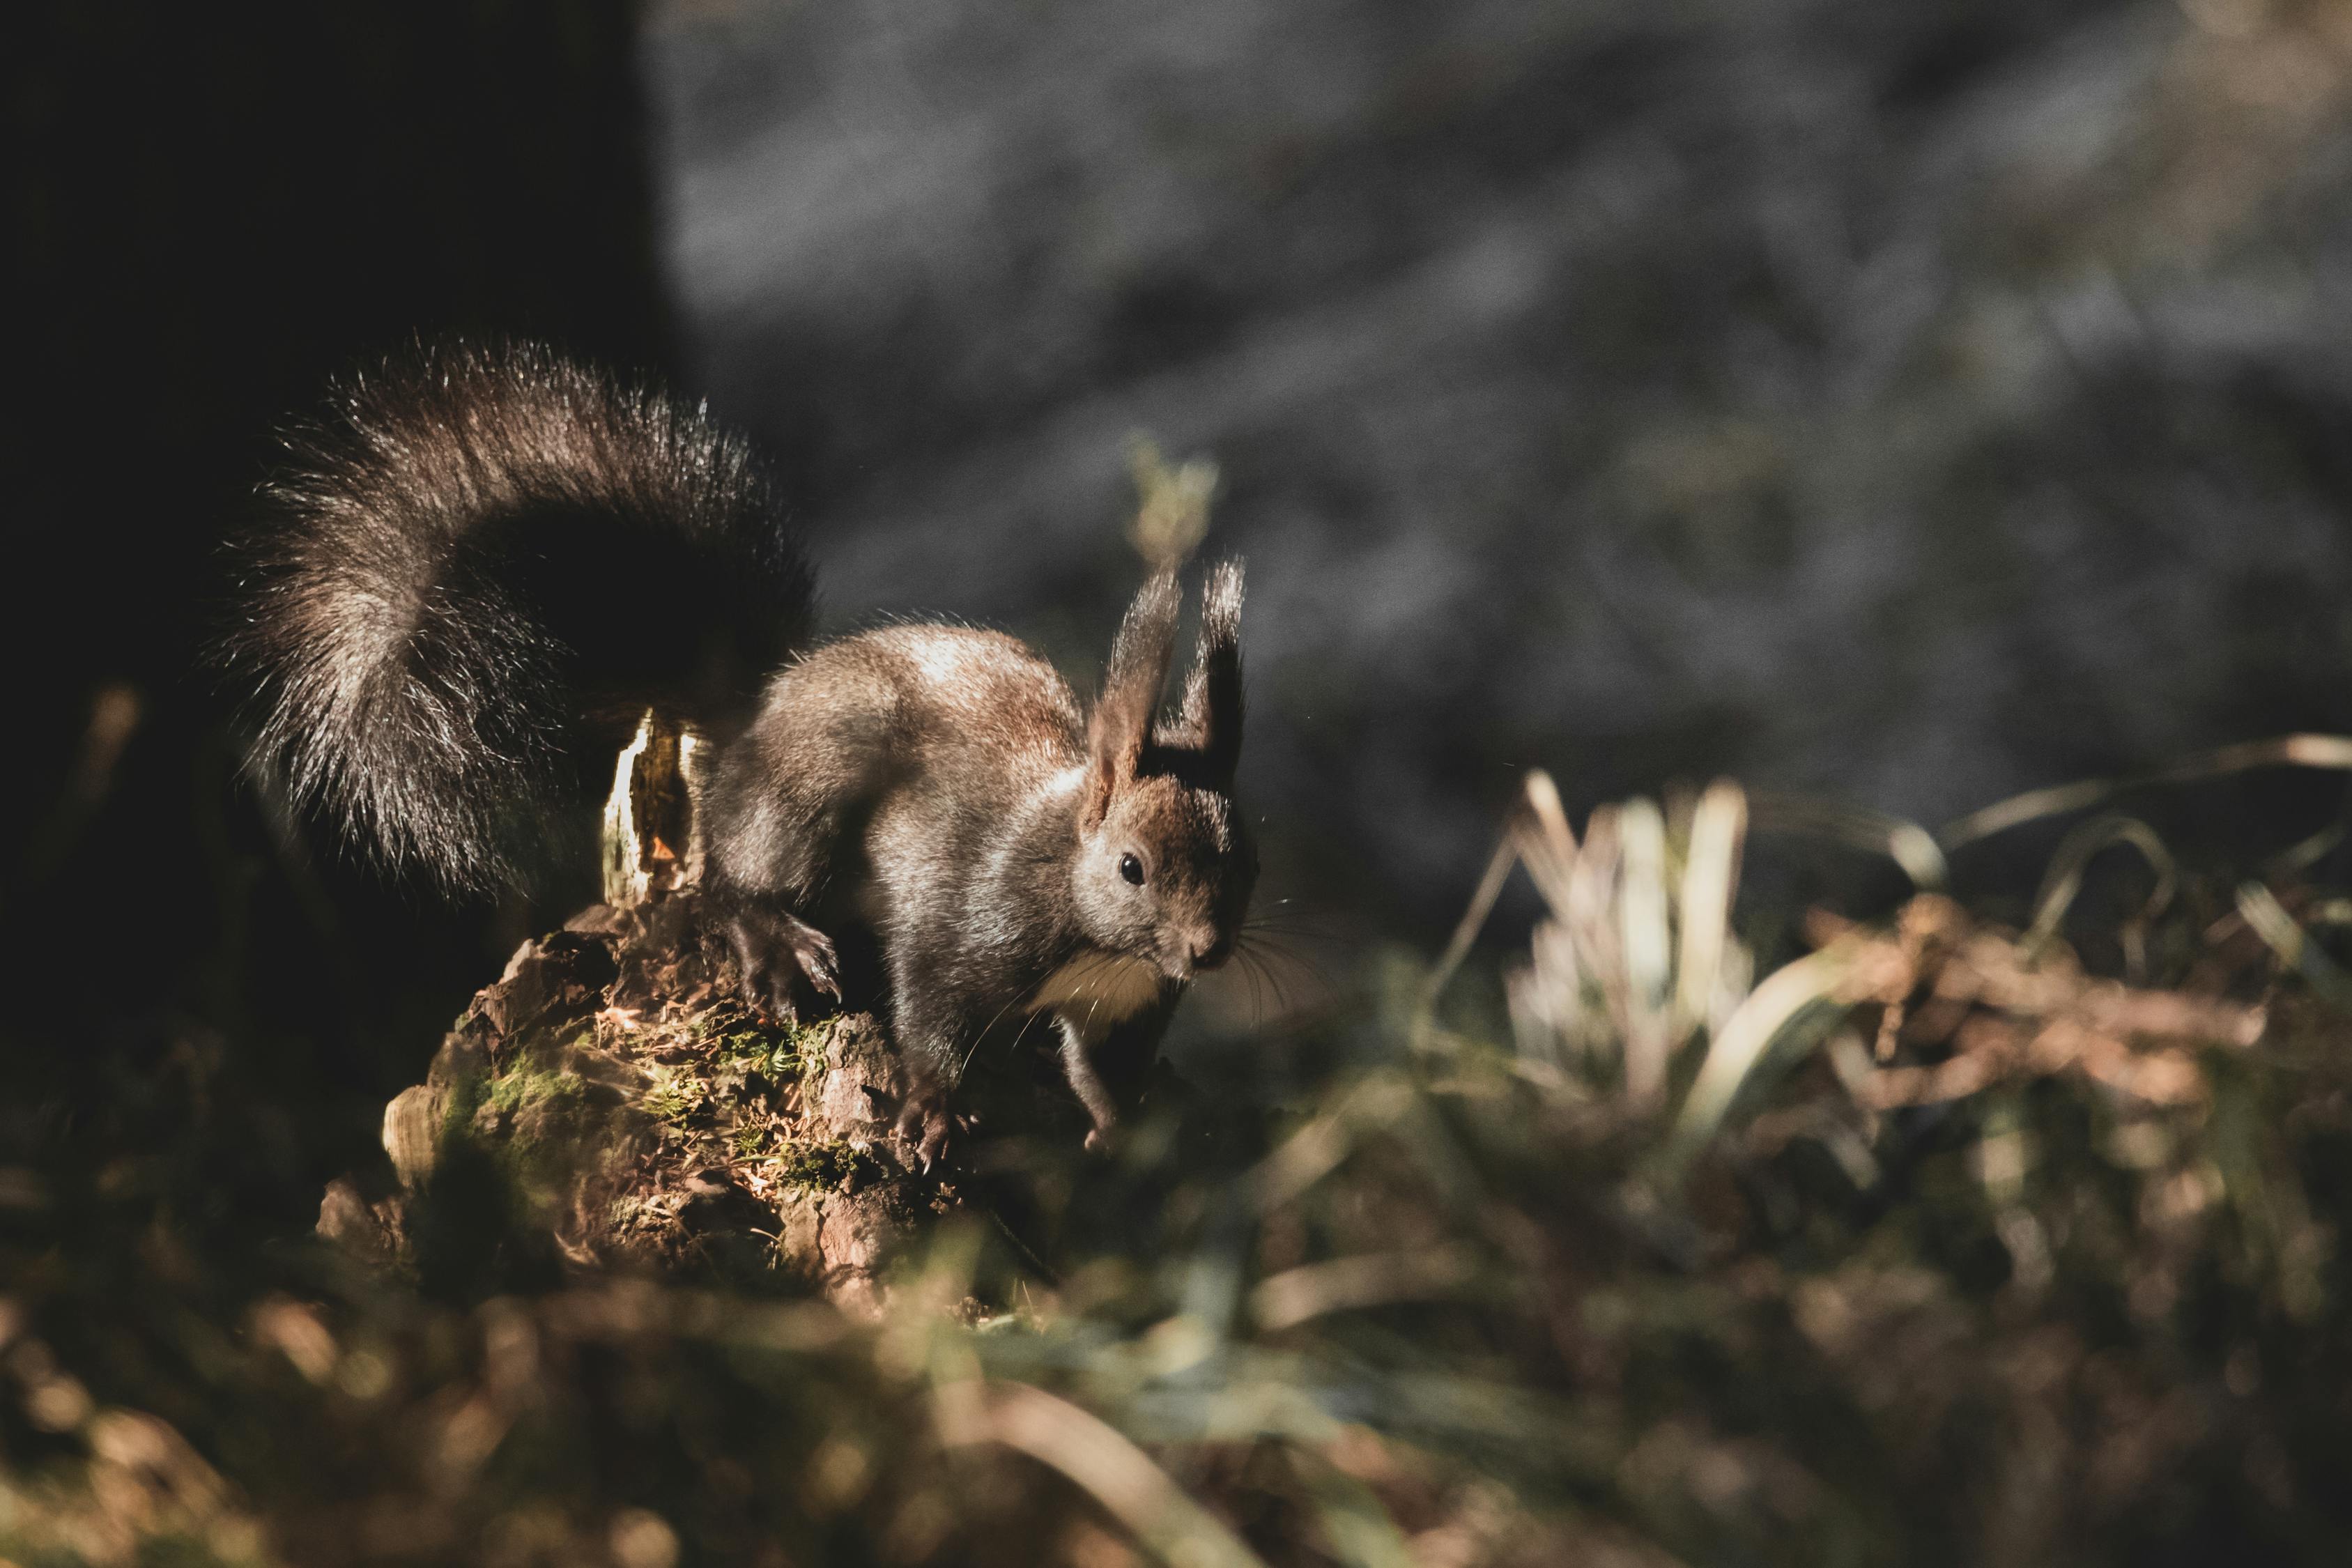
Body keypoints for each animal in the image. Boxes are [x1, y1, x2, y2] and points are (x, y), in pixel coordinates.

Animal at [224, 345, 1251, 1175]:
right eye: (1131, 866)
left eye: (1246, 857)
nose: (1208, 950)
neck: (1093, 931)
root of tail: (762, 706)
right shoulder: (962, 924)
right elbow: (929, 1019)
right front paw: (930, 1111)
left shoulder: (1127, 1005)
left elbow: (1102, 1069)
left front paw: (1124, 1127)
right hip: (807, 791)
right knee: (727, 875)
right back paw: (776, 938)